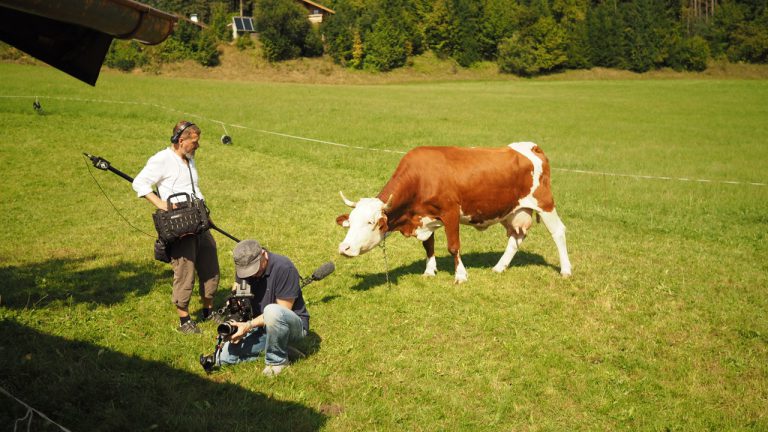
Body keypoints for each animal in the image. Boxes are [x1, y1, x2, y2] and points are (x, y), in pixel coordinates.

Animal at [336, 143, 568, 284]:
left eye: (370, 222)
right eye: (351, 222)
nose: (344, 248)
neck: (421, 178)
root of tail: (531, 146)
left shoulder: (451, 213)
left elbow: (453, 247)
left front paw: (461, 275)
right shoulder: (425, 217)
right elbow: (428, 245)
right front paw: (429, 270)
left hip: (545, 203)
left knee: (558, 232)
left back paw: (566, 270)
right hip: (511, 210)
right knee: (516, 237)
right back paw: (499, 267)